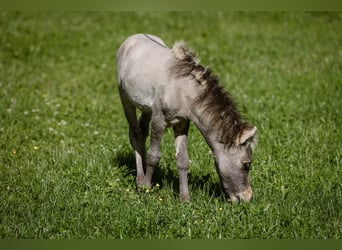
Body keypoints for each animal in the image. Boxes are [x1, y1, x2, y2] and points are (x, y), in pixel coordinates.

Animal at [115, 33, 256, 203]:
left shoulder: (182, 123)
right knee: (135, 134)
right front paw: (146, 188)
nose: (248, 197)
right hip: (125, 99)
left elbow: (182, 160)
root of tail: (132, 37)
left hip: (145, 108)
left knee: (142, 132)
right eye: (247, 164)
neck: (183, 90)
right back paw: (140, 180)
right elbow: (153, 156)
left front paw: (185, 198)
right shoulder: (158, 120)